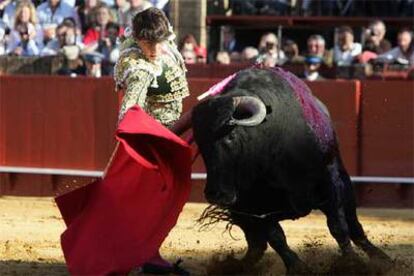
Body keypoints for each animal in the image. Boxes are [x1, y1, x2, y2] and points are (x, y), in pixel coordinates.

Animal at [191, 68, 392, 274]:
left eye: (231, 136)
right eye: (200, 143)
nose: (215, 194)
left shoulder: (328, 182)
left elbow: (338, 226)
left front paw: (351, 264)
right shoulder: (253, 204)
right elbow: (275, 237)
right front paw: (297, 267)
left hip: (345, 184)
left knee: (353, 224)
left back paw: (382, 259)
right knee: (256, 243)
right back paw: (236, 266)